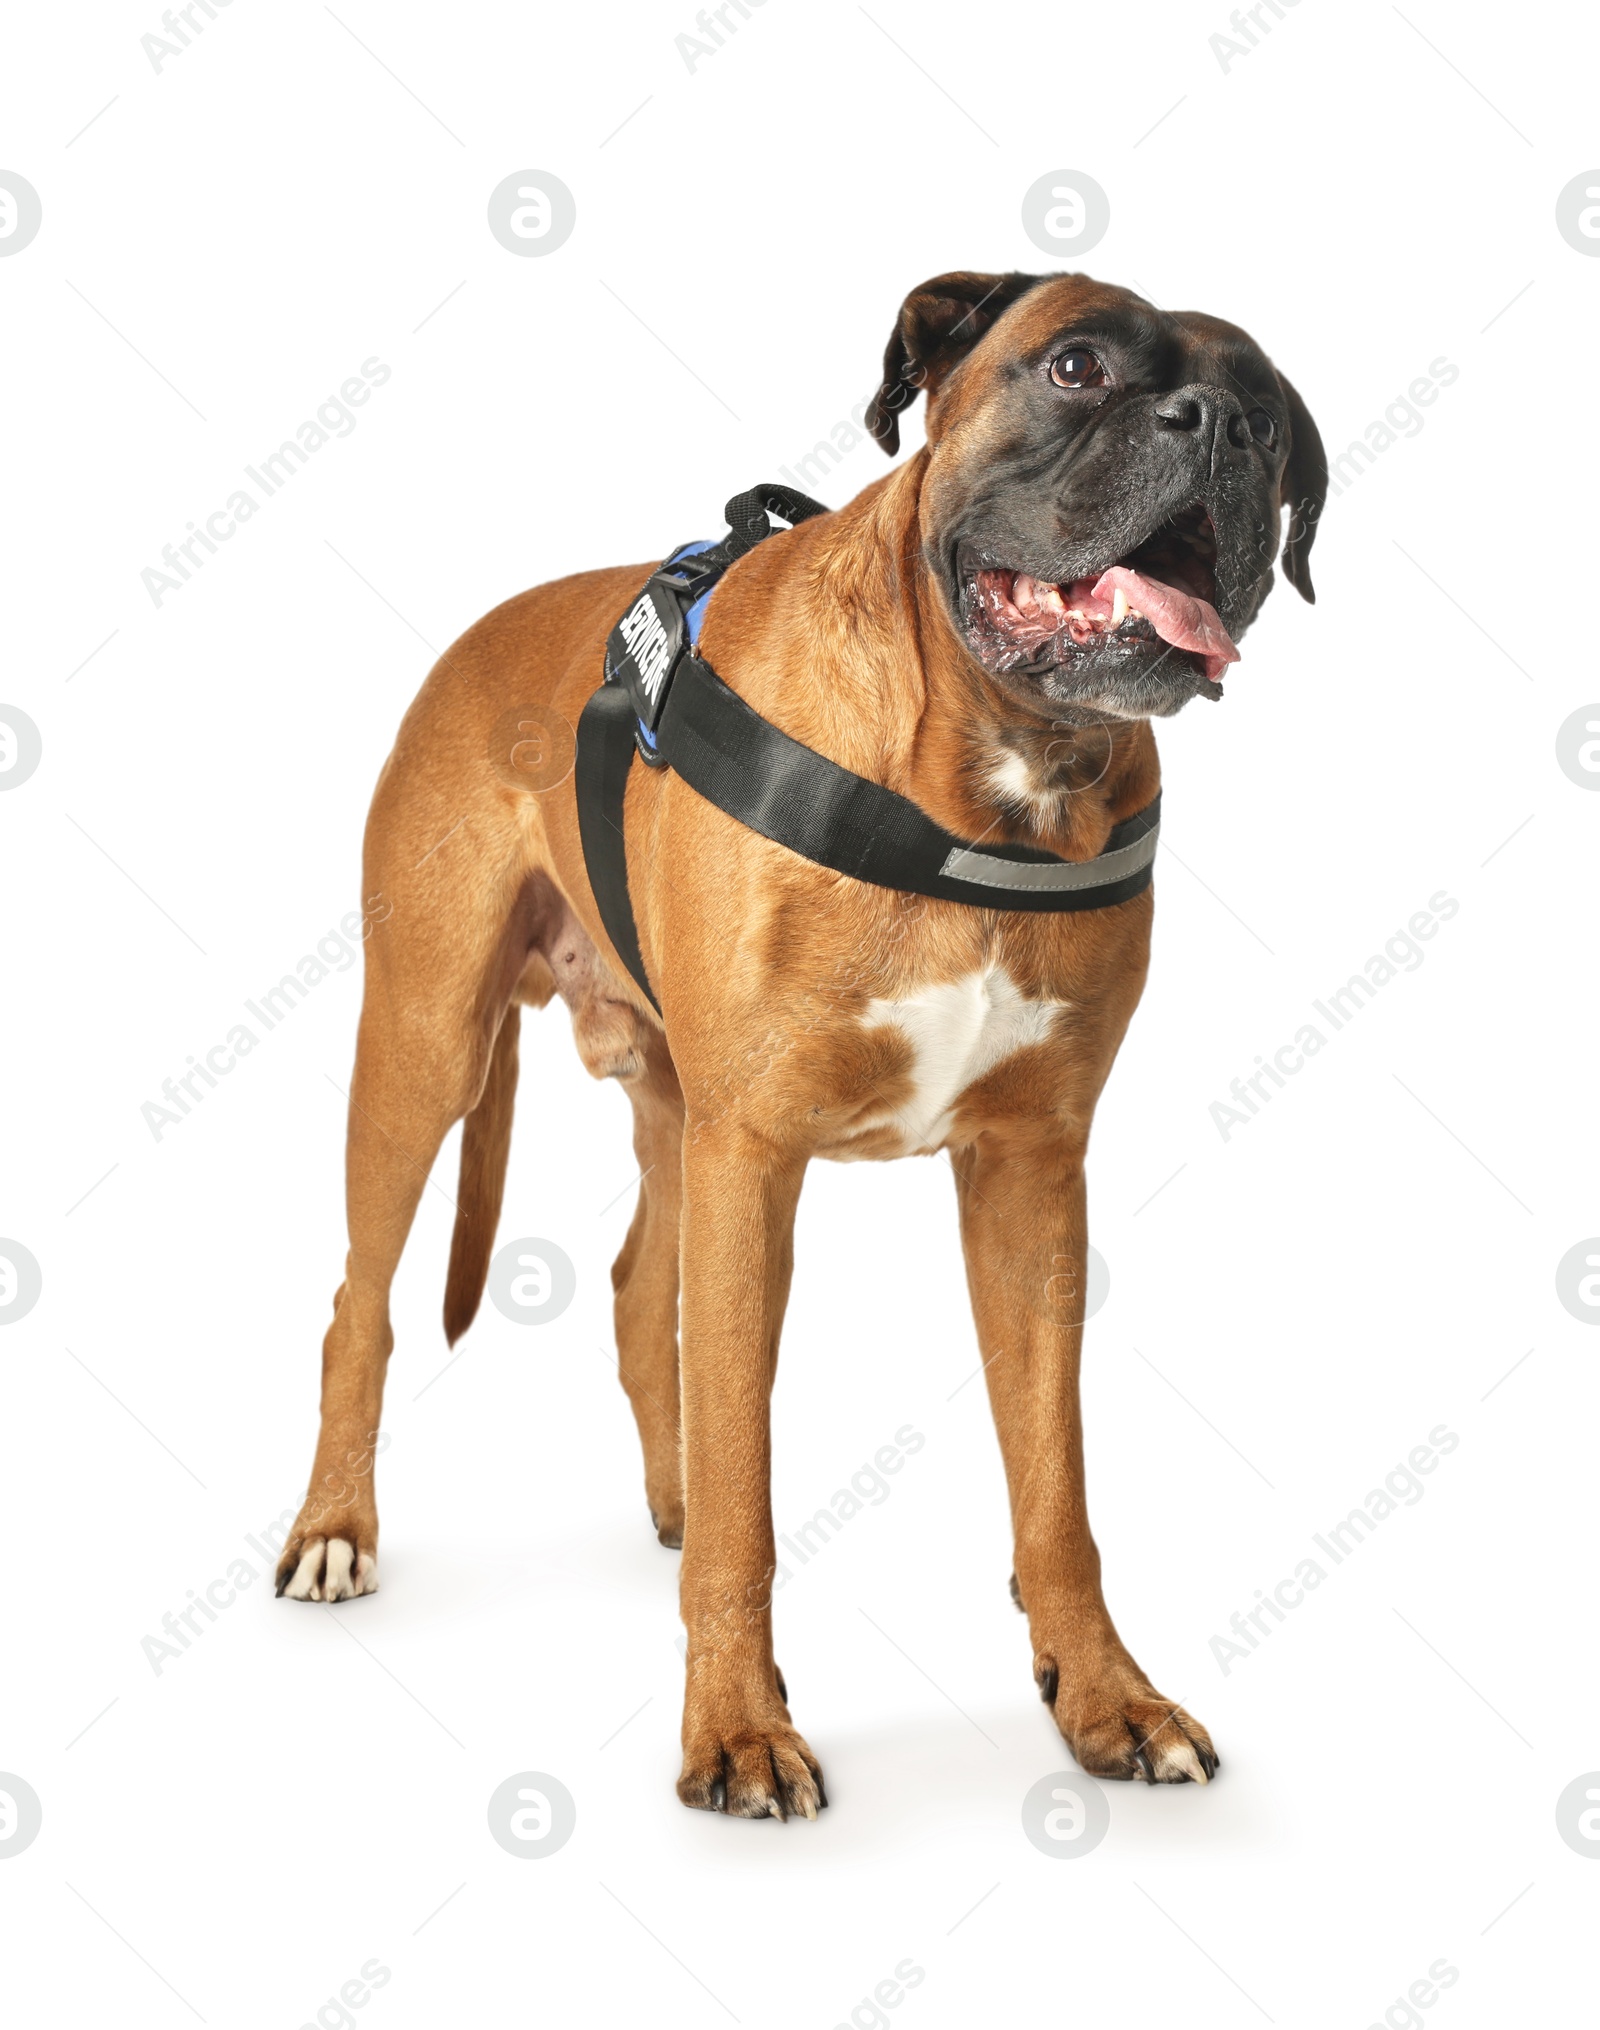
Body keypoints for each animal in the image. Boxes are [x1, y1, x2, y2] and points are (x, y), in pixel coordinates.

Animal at [274, 274, 1323, 1827]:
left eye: (1269, 413)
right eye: (1076, 365)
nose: (1218, 428)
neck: (999, 769)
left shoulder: (1029, 1176)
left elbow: (1055, 1487)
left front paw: (1104, 1696)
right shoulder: (756, 1157)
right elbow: (750, 1493)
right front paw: (738, 1727)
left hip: (670, 1112)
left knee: (639, 1292)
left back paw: (663, 1494)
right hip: (427, 1045)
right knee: (363, 1298)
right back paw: (336, 1525)